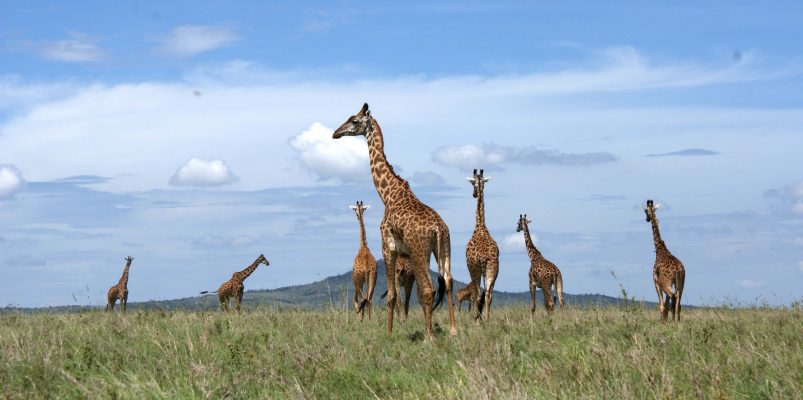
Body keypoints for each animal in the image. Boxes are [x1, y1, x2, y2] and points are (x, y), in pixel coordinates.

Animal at [333, 103, 457, 337]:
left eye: (354, 120)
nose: (336, 133)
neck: (388, 194)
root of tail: (438, 228)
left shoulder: (387, 246)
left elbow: (391, 295)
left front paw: (389, 333)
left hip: (420, 252)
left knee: (428, 289)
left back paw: (429, 336)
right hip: (443, 249)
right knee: (447, 281)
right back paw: (453, 330)